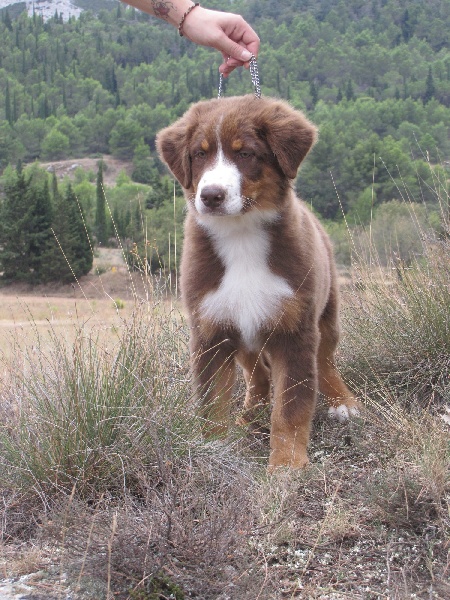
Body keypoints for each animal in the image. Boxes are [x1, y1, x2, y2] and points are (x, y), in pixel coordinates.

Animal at [156, 95, 359, 470]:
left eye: (246, 153)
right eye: (199, 154)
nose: (211, 196)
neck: (241, 237)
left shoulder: (295, 330)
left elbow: (291, 407)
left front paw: (286, 464)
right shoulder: (211, 330)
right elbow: (212, 403)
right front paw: (213, 449)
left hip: (326, 312)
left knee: (325, 360)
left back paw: (343, 403)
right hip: (246, 334)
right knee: (257, 375)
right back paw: (250, 414)